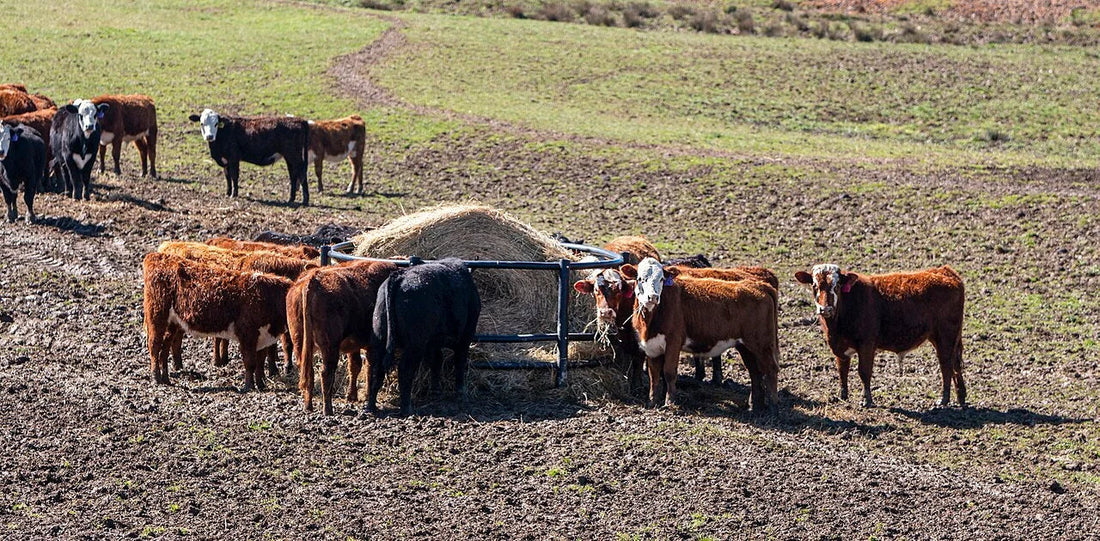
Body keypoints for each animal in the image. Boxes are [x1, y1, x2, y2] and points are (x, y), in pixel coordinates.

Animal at [142, 252, 292, 392]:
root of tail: (156, 256)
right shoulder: (247, 333)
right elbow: (250, 363)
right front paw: (248, 386)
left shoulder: (263, 336)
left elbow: (260, 363)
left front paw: (261, 385)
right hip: (157, 315)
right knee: (155, 345)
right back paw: (156, 377)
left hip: (172, 322)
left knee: (165, 347)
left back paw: (165, 379)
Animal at [288, 260, 397, 415]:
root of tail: (313, 279)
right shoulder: (372, 345)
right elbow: (370, 368)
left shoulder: (355, 345)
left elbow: (355, 365)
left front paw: (352, 396)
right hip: (330, 346)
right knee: (326, 373)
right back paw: (328, 409)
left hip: (300, 343)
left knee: (308, 372)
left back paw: (308, 405)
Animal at [367, 259, 481, 416]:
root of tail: (399, 276)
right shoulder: (465, 337)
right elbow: (459, 361)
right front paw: (461, 393)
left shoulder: (432, 342)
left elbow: (436, 360)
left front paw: (435, 390)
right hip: (415, 344)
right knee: (404, 370)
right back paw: (407, 408)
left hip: (379, 338)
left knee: (376, 370)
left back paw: (371, 407)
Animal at [620, 258, 780, 410]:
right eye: (640, 278)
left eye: (661, 279)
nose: (653, 297)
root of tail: (760, 286)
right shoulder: (651, 347)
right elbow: (654, 376)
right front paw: (652, 402)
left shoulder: (673, 342)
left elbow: (669, 372)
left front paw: (670, 402)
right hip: (745, 346)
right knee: (755, 372)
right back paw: (755, 406)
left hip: (761, 344)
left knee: (771, 369)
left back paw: (773, 407)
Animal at [794, 264, 966, 408]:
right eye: (815, 285)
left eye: (836, 286)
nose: (825, 309)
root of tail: (945, 271)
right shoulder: (839, 346)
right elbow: (842, 370)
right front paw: (842, 396)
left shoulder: (867, 344)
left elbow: (864, 371)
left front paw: (867, 400)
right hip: (945, 338)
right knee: (955, 364)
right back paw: (961, 397)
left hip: (945, 336)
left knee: (946, 365)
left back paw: (944, 400)